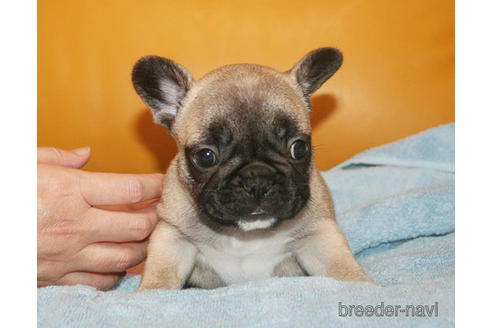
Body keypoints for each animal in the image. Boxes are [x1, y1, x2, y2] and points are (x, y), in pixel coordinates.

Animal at [133, 46, 370, 290]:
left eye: (299, 148)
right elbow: (161, 275)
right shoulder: (173, 235)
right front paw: (152, 291)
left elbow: (341, 268)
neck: (247, 236)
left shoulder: (319, 233)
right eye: (206, 157)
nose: (258, 179)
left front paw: (362, 285)